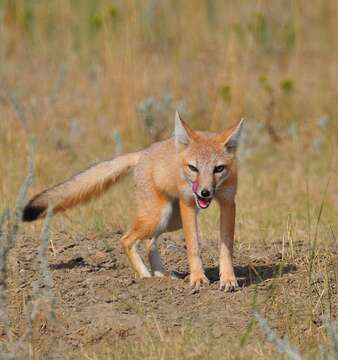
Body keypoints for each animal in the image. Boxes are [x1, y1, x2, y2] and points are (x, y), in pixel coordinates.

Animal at [24, 112, 246, 292]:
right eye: (193, 168)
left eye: (218, 169)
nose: (205, 193)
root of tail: (143, 152)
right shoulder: (188, 203)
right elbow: (193, 246)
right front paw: (198, 279)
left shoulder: (228, 203)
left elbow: (226, 248)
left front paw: (228, 280)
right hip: (159, 216)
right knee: (126, 239)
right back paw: (146, 277)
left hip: (169, 220)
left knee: (149, 243)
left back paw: (161, 276)